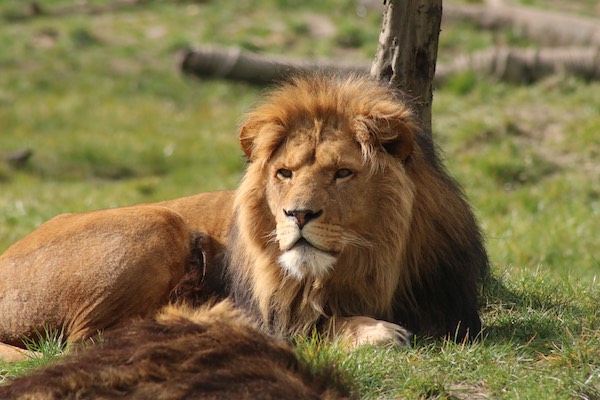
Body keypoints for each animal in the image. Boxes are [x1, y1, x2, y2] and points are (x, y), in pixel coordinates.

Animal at [0, 75, 488, 360]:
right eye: (284, 173)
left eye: (343, 173)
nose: (298, 214)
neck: (371, 262)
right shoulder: (279, 312)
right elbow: (319, 325)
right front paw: (375, 331)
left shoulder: (454, 311)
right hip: (160, 223)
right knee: (85, 341)